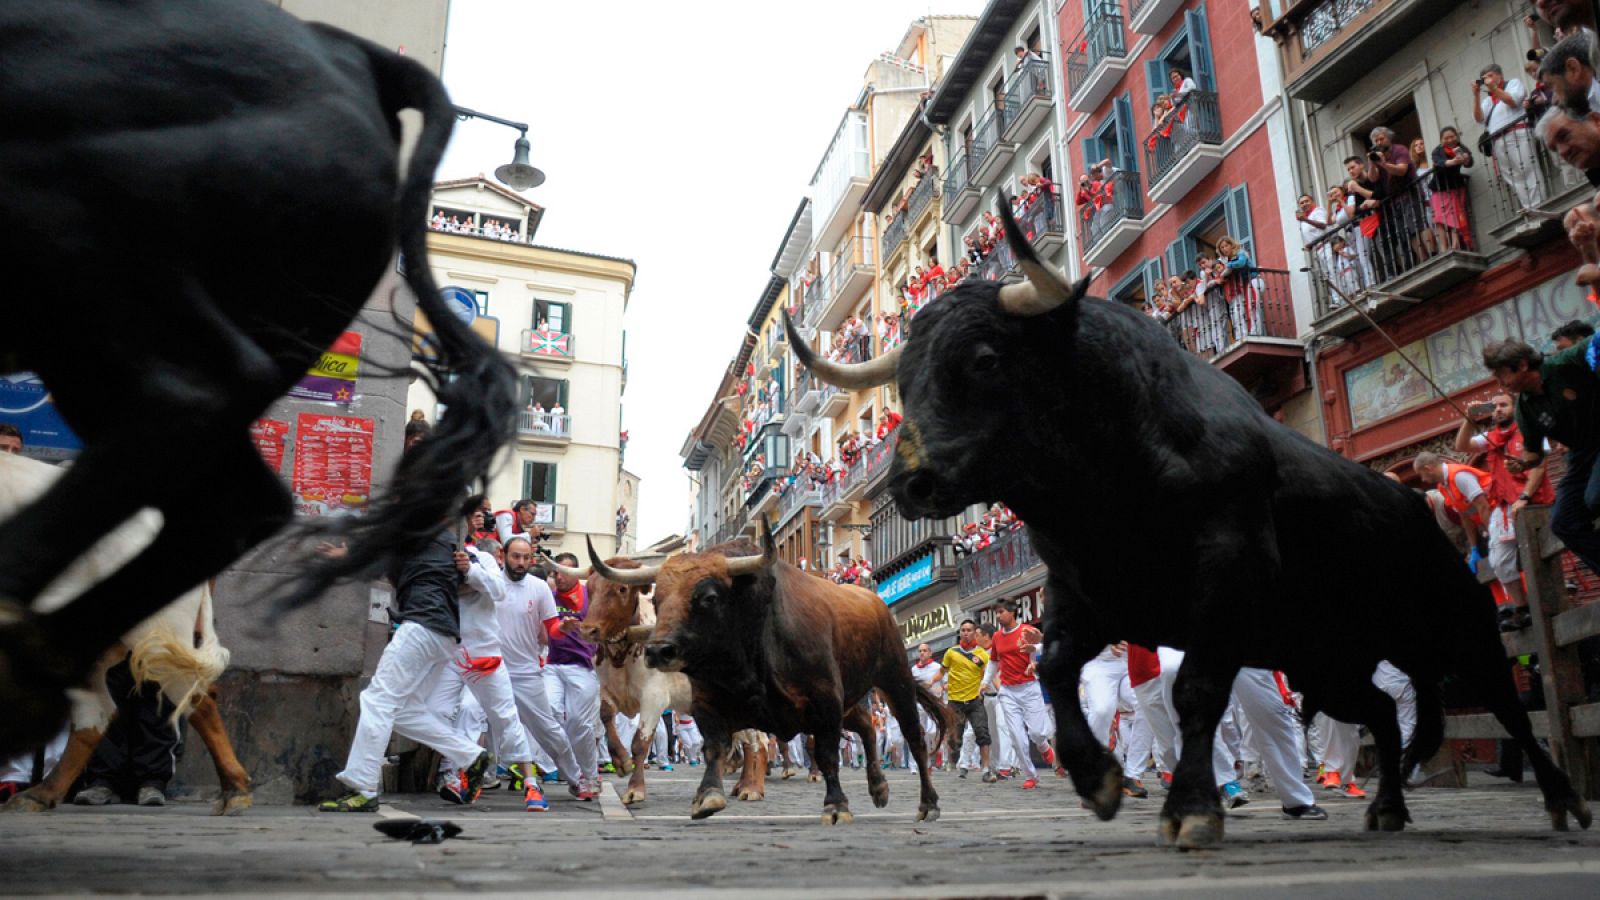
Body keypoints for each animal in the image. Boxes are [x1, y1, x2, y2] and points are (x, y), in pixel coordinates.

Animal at [588, 522, 940, 826]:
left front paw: (836, 805)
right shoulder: (707, 703)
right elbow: (713, 747)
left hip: (895, 680)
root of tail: (875, 601)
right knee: (866, 726)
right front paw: (707, 794)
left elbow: (826, 754)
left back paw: (928, 803)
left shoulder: (825, 700)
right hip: (850, 702)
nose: (658, 650)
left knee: (915, 738)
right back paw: (878, 787)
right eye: (658, 600)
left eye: (709, 598)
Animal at [793, 197, 1593, 845]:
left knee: (1504, 705)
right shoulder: (1084, 594)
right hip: (1328, 657)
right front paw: (1098, 780)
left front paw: (1192, 808)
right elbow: (1054, 669)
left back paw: (1560, 799)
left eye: (986, 358)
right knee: (1383, 712)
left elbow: (1196, 693)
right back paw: (1388, 806)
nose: (910, 482)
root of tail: (1413, 504)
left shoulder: (1225, 583)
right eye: (904, 380)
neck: (1108, 473)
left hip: (1458, 627)